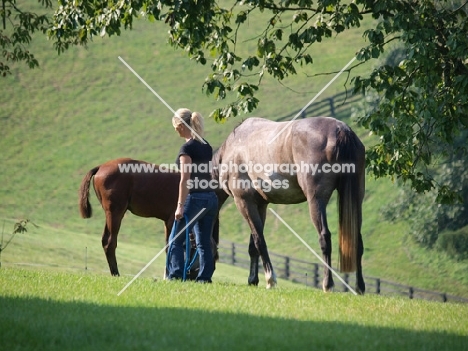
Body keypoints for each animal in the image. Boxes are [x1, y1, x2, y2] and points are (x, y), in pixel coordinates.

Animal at [79, 159, 218, 278]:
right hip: (115, 213)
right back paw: (116, 273)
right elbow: (170, 246)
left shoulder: (168, 223)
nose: (208, 278)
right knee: (110, 242)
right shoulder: (172, 221)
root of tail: (100, 167)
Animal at [211, 117, 366, 294]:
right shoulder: (260, 205)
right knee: (357, 242)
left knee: (324, 237)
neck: (232, 148)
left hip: (316, 201)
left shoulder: (244, 202)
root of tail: (341, 130)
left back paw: (328, 284)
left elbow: (259, 241)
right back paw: (359, 287)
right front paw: (253, 280)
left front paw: (270, 280)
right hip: (356, 199)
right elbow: (253, 246)